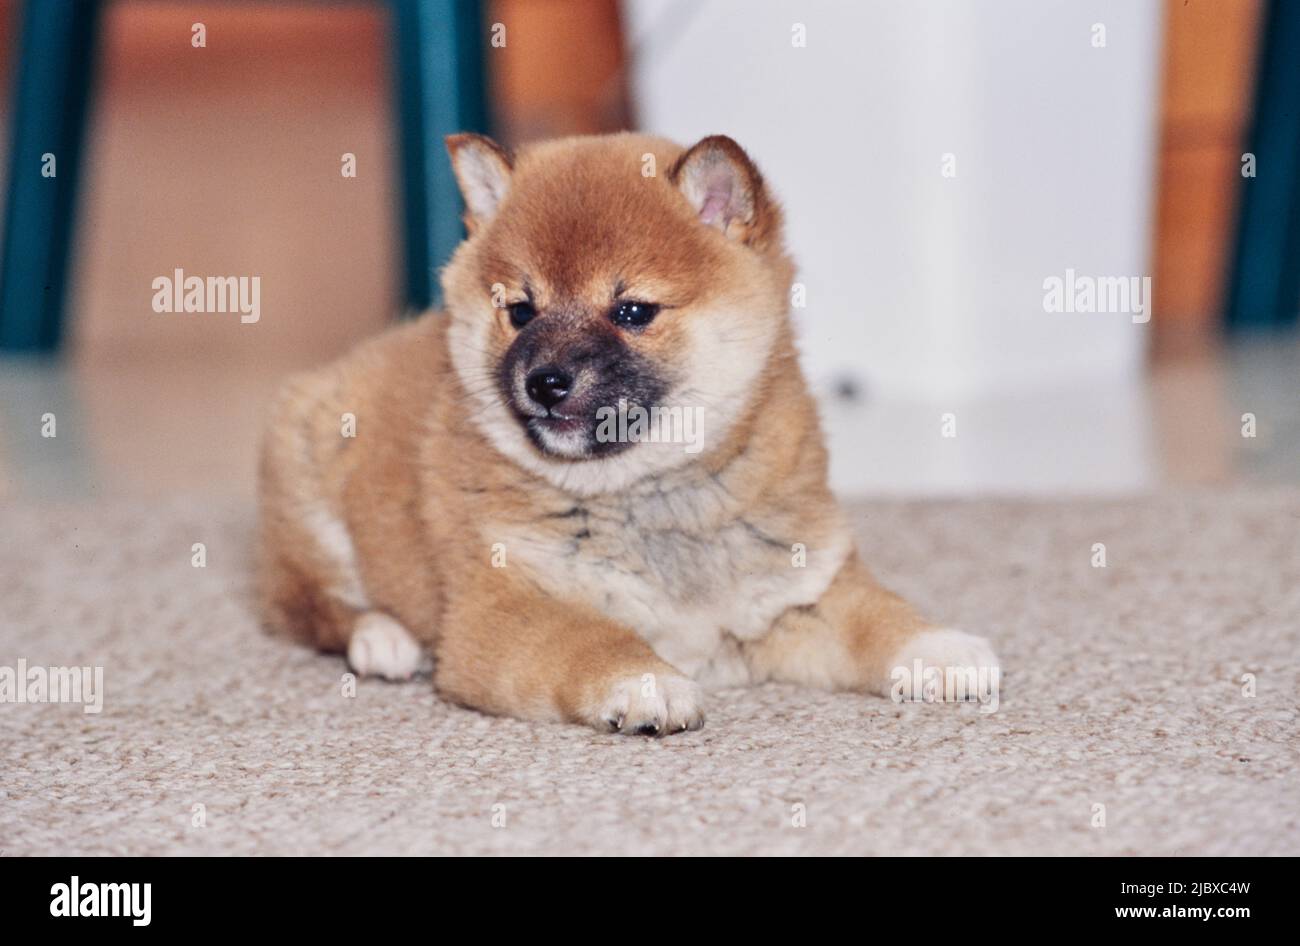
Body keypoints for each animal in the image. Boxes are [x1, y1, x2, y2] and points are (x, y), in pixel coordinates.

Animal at [258, 131, 998, 732]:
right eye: (520, 311)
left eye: (633, 311)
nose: (545, 381)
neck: (650, 494)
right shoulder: (500, 608)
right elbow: (590, 641)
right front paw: (644, 683)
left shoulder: (799, 591)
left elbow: (880, 616)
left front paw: (940, 648)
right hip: (307, 482)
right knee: (306, 605)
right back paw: (381, 638)